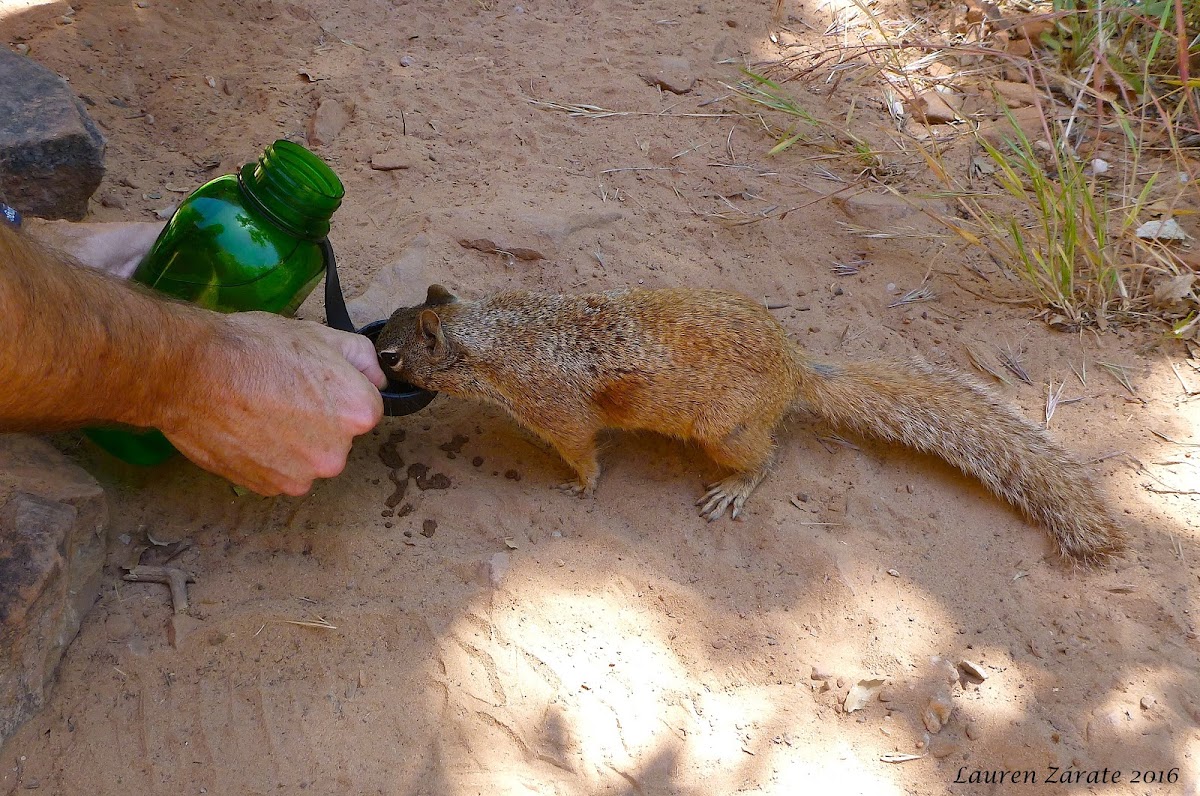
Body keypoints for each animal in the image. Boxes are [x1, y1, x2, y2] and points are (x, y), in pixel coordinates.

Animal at [379, 283, 1128, 564]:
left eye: (391, 353)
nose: (377, 358)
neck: (495, 333)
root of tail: (795, 369)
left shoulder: (556, 412)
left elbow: (584, 453)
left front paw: (579, 484)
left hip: (727, 431)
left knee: (764, 460)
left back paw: (736, 486)